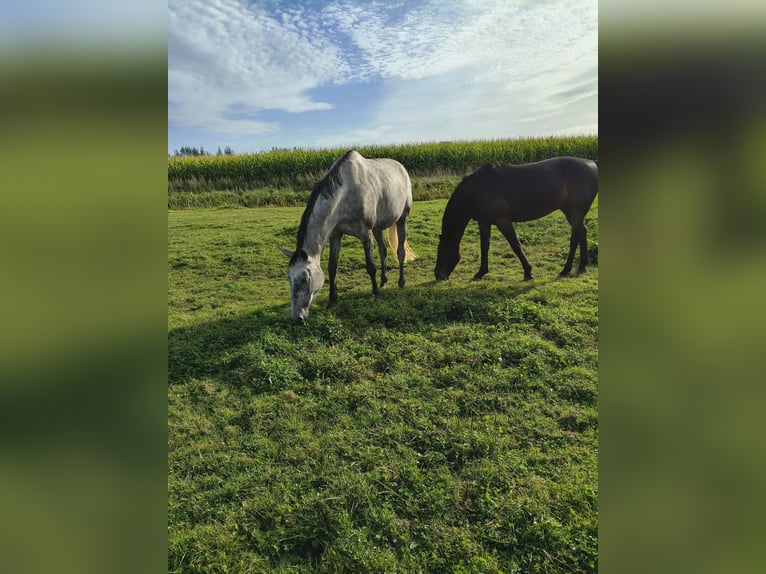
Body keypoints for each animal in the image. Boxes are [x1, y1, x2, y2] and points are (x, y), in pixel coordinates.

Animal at [280, 150, 416, 323]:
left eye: (305, 278)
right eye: (289, 279)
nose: (297, 318)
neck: (346, 192)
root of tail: (401, 167)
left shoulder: (365, 233)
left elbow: (370, 266)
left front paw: (376, 295)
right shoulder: (336, 234)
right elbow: (332, 267)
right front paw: (332, 300)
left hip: (402, 219)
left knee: (400, 252)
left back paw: (401, 282)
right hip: (378, 228)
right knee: (383, 250)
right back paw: (383, 280)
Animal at [434, 156, 598, 281]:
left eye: (441, 252)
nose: (438, 275)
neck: (476, 191)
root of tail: (593, 164)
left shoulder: (503, 221)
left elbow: (516, 245)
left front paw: (528, 272)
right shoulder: (484, 222)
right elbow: (484, 246)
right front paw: (480, 273)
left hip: (574, 212)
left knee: (575, 237)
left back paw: (566, 269)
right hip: (573, 213)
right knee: (582, 232)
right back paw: (582, 266)